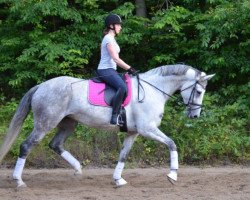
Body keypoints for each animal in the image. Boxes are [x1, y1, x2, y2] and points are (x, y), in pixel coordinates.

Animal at [0, 64, 215, 188]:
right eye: (198, 91)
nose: (195, 115)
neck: (153, 90)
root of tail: (41, 86)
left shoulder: (133, 132)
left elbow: (123, 155)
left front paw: (118, 179)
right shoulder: (148, 129)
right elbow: (172, 144)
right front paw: (172, 175)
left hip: (69, 123)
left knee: (56, 144)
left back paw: (78, 169)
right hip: (45, 123)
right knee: (26, 146)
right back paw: (19, 181)